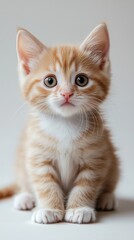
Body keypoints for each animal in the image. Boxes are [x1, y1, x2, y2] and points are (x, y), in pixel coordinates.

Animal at [0, 23, 119, 224]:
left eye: (81, 80)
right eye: (50, 81)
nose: (66, 93)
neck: (65, 124)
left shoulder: (96, 157)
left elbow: (86, 185)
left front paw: (79, 208)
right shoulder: (37, 156)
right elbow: (45, 184)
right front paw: (49, 208)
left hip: (113, 161)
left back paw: (107, 197)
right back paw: (25, 197)